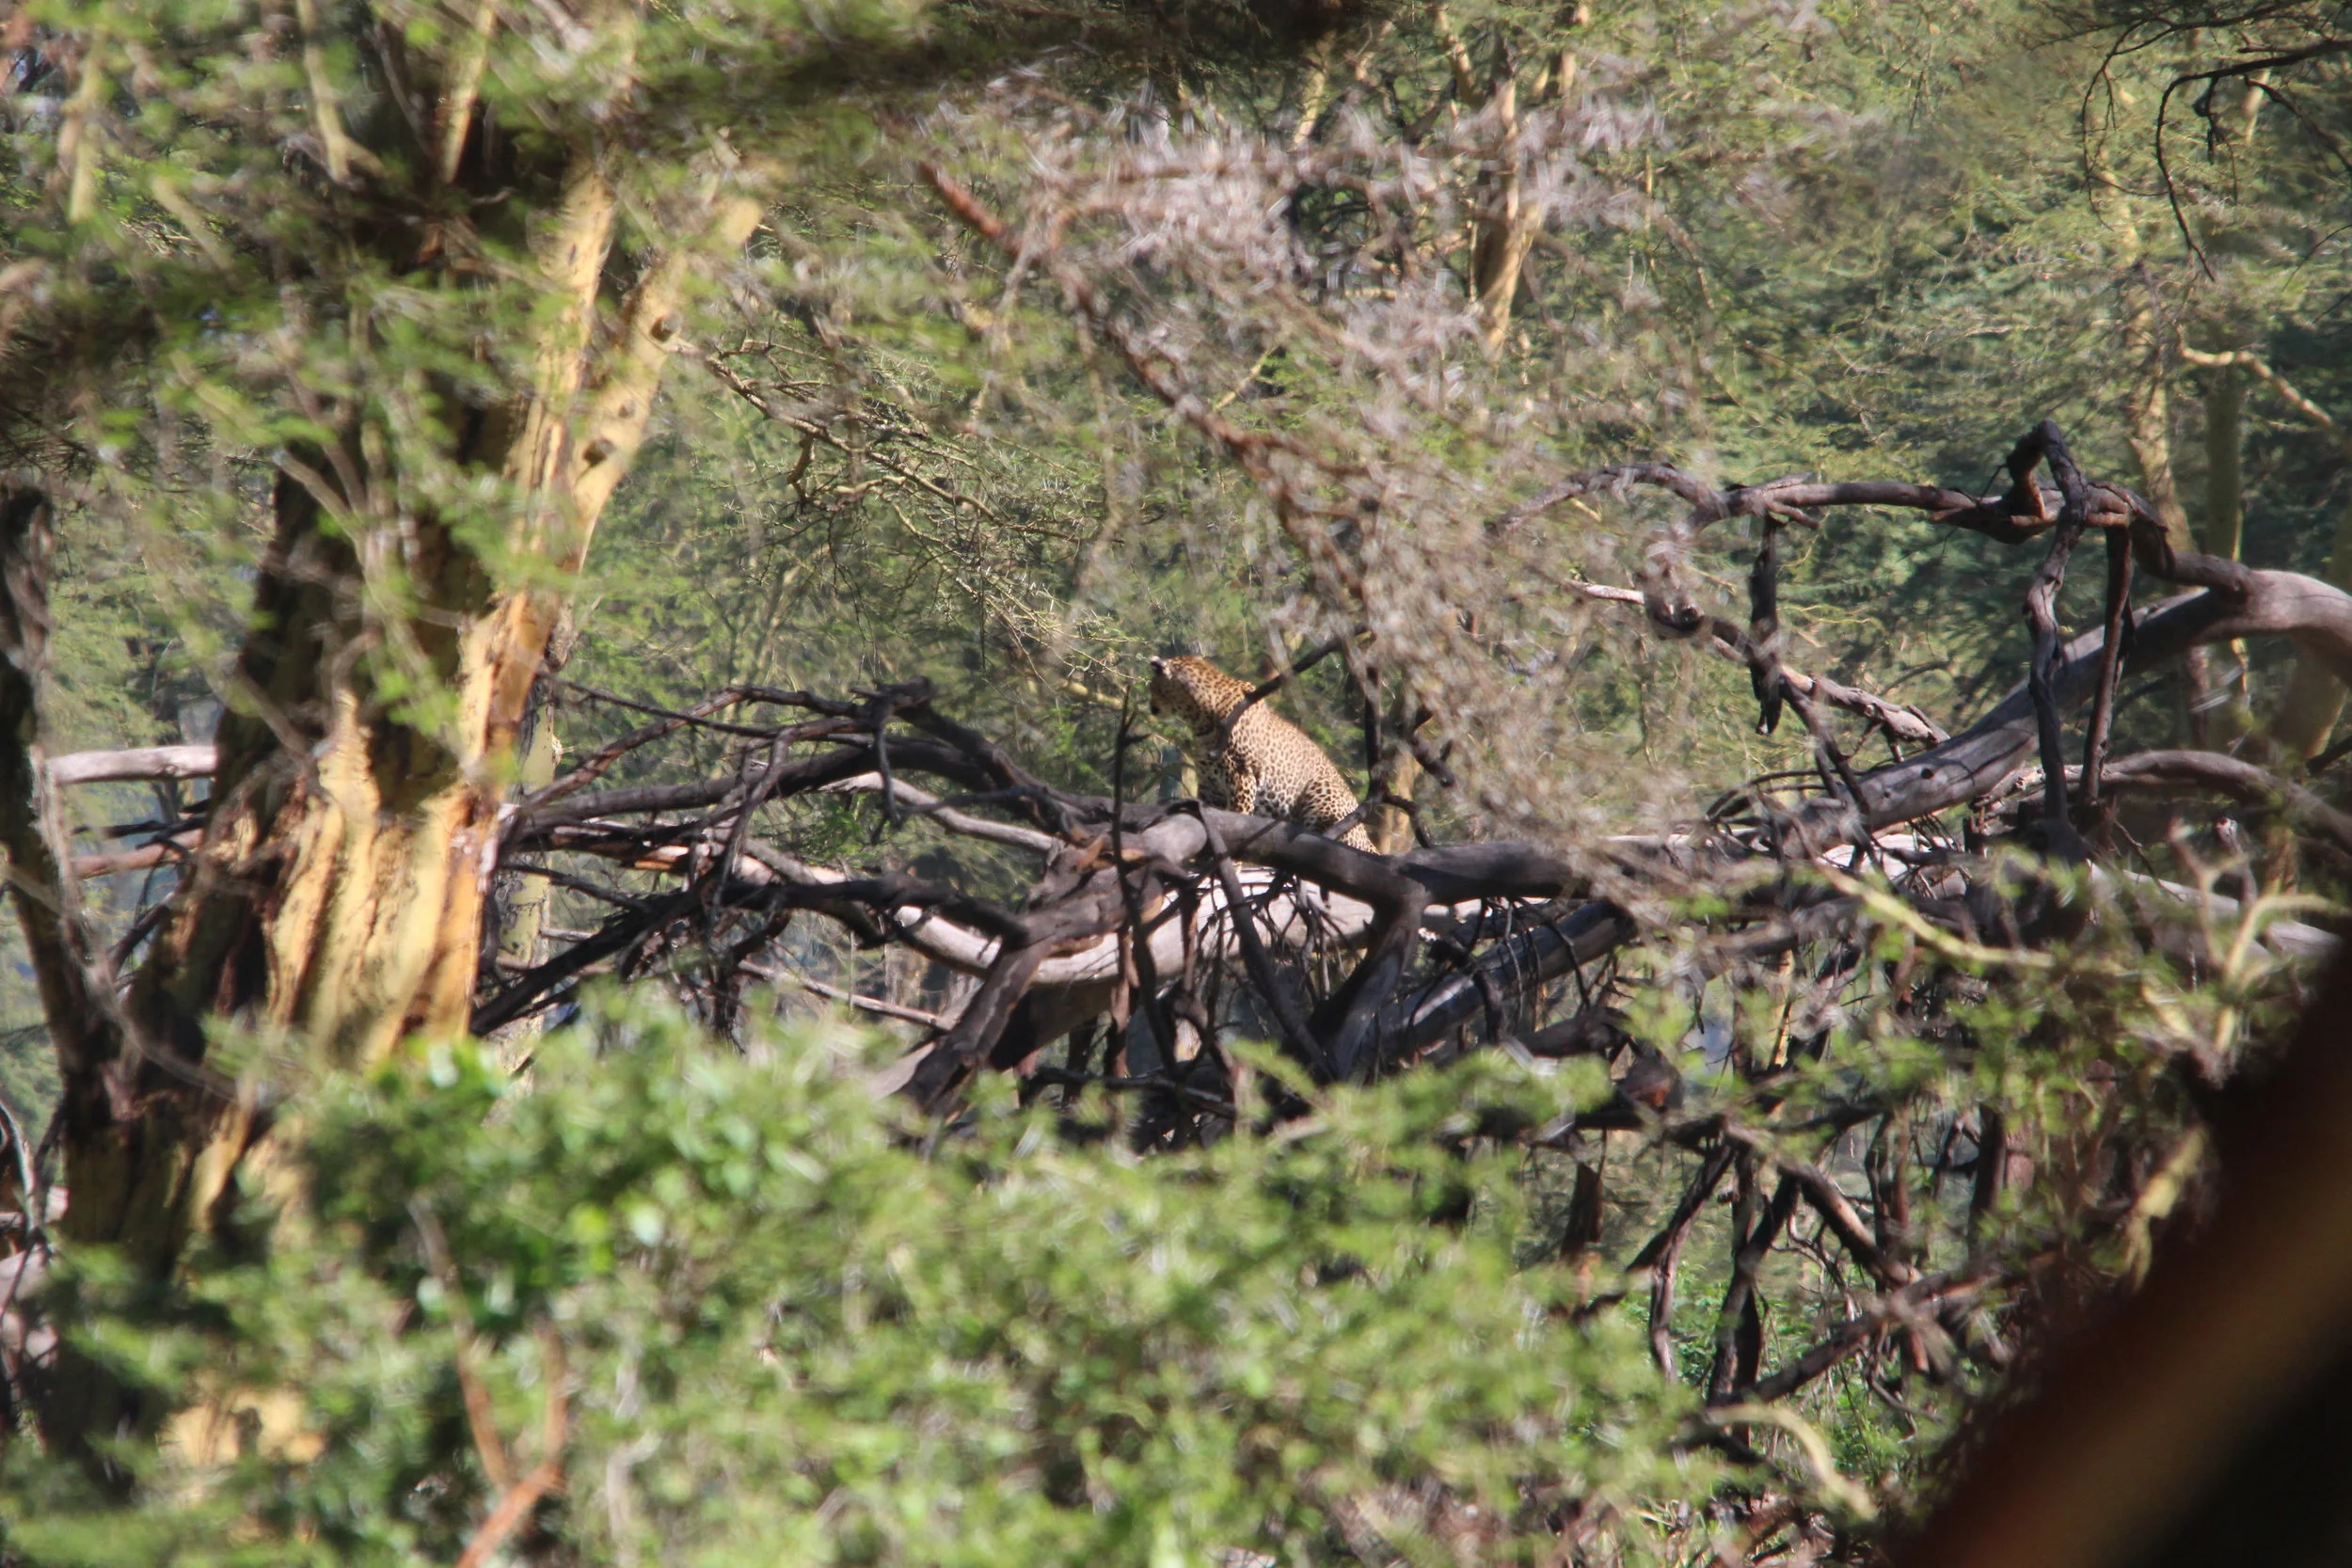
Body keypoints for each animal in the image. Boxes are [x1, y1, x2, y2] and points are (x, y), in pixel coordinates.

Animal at [1148, 654, 1378, 853]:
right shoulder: (1210, 787)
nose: (1150, 707)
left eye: (1151, 686)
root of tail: (1368, 840)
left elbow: (1236, 821)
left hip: (1322, 793)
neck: (1198, 719)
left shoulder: (1241, 780)